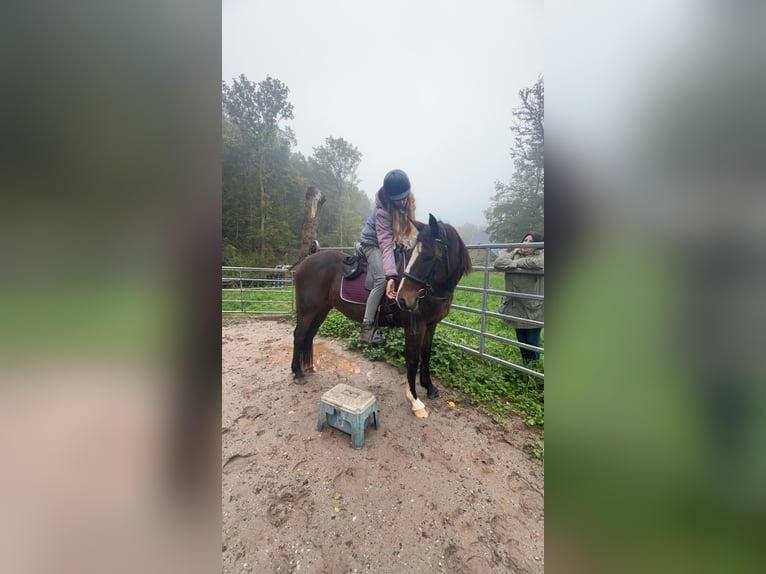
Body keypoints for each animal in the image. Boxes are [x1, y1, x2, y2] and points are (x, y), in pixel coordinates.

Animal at [291, 213, 473, 417]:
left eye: (427, 256)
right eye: (416, 255)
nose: (403, 299)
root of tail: (306, 260)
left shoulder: (431, 324)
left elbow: (426, 354)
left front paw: (430, 387)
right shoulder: (414, 328)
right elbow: (413, 360)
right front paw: (415, 400)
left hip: (321, 310)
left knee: (309, 336)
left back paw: (308, 367)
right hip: (308, 311)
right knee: (299, 335)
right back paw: (297, 372)